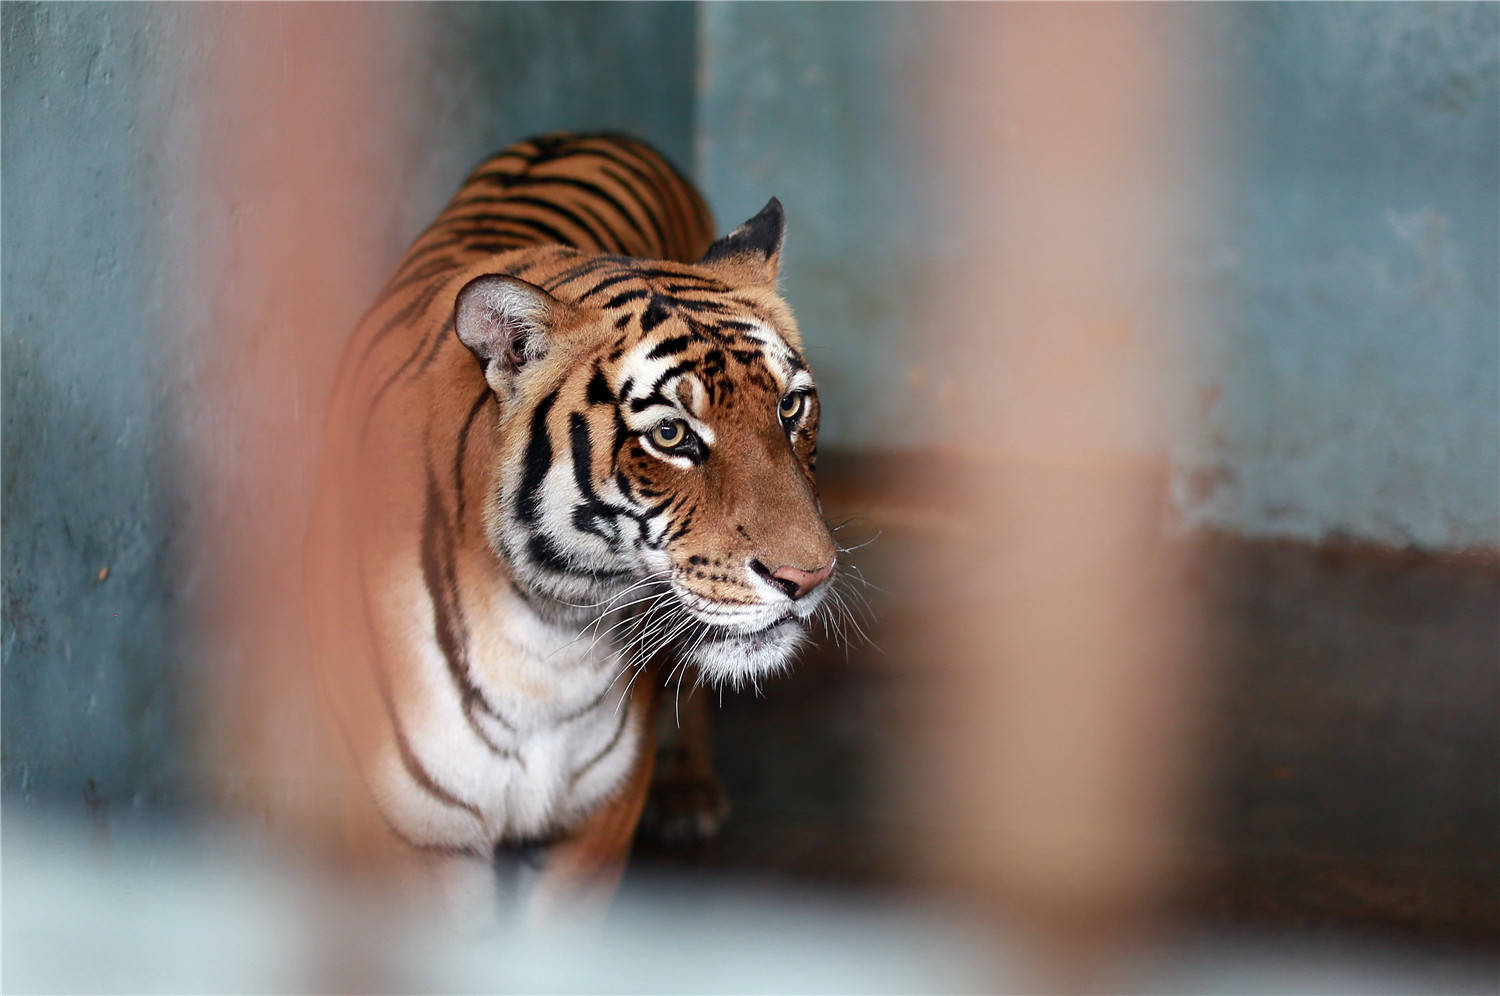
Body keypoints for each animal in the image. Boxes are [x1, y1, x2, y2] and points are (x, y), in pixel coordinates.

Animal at [304, 133, 838, 911]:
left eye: (790, 407)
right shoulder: (415, 839)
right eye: (671, 435)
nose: (809, 576)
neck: (547, 640)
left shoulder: (596, 820)